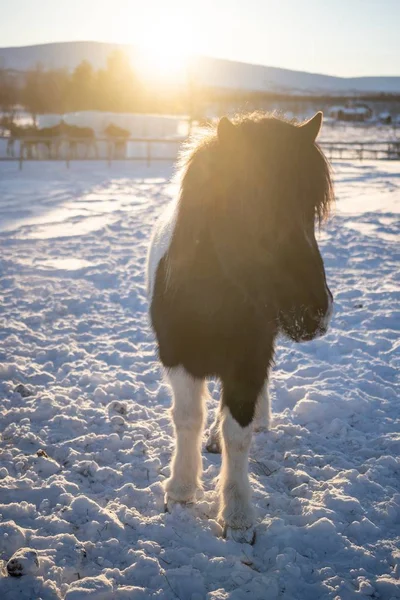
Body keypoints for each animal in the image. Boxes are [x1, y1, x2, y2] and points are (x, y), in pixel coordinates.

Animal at [147, 111, 334, 544]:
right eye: (250, 203)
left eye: (313, 207)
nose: (313, 314)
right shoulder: (178, 355)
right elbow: (187, 418)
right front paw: (181, 489)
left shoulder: (248, 361)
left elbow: (238, 433)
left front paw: (237, 514)